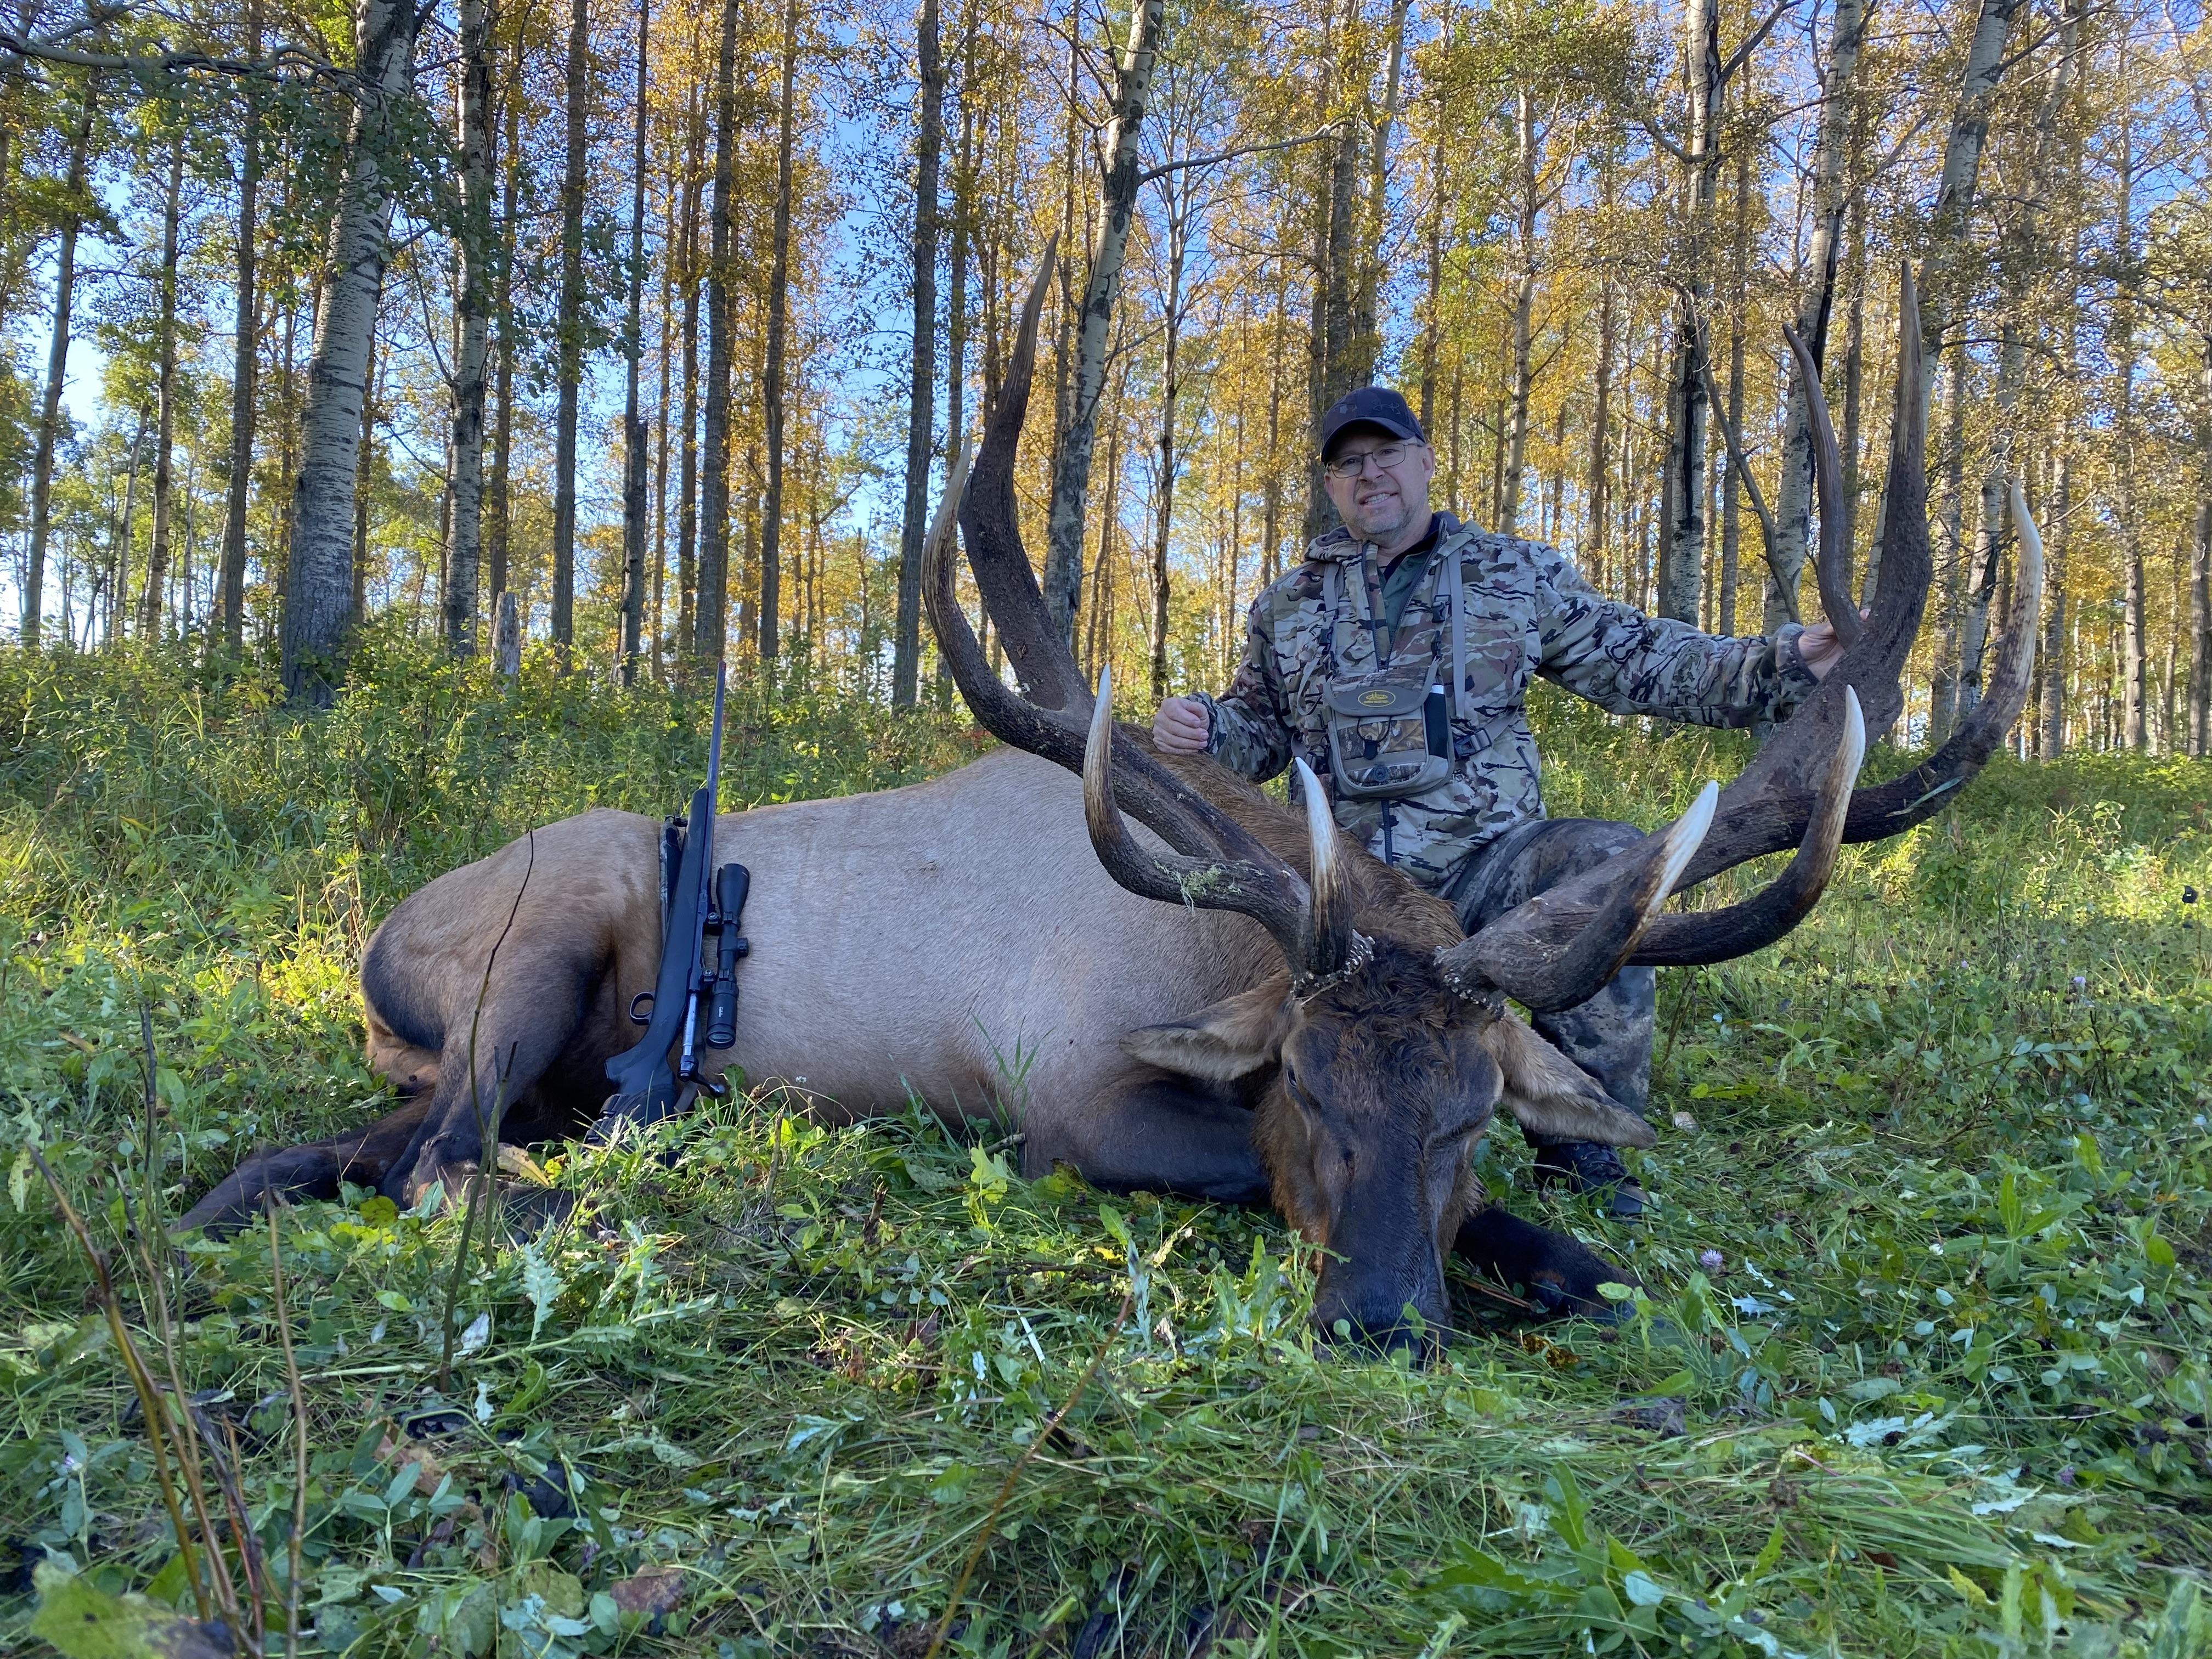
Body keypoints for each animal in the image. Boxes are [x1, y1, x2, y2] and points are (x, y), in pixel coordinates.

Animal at [180, 263, 2040, 1353]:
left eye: (1466, 1116)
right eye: (1306, 1092)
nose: (1381, 1324)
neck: (1218, 971)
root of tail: (373, 949)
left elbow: (1587, 1256)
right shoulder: (1067, 1095)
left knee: (363, 1149)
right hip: (542, 933)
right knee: (443, 1160)